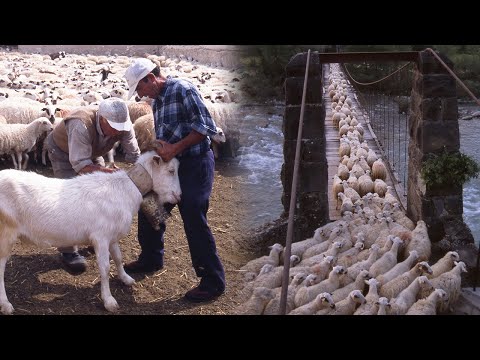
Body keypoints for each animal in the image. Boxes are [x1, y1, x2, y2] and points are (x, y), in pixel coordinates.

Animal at [0, 152, 182, 316]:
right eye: (171, 171)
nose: (179, 196)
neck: (126, 188)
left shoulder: (112, 236)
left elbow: (118, 257)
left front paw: (125, 278)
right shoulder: (101, 237)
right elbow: (105, 268)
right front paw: (109, 300)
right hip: (5, 235)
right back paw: (6, 304)